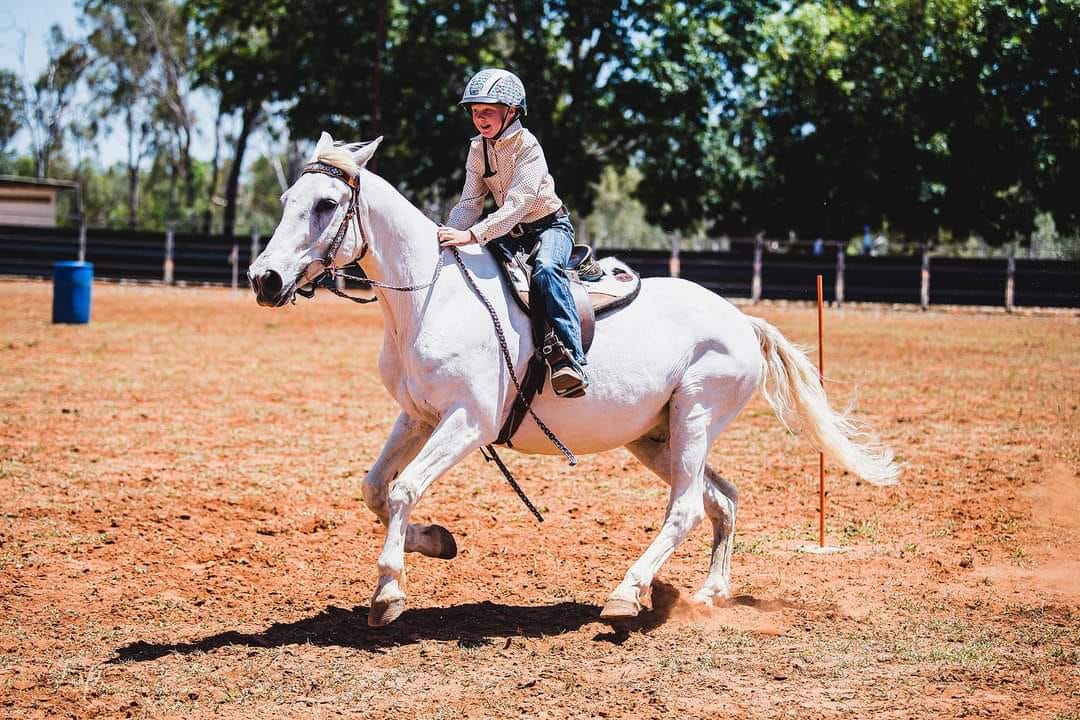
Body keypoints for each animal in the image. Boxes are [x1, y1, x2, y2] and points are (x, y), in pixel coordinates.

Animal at [248, 132, 898, 626]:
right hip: (656, 437)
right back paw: (708, 594)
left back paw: (627, 593)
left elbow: (404, 489)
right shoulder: (418, 417)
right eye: (286, 197)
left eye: (326, 204)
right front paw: (434, 541)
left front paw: (388, 590)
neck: (430, 296)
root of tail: (742, 320)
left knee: (686, 509)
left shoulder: (467, 423)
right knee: (723, 500)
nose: (264, 279)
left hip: (694, 417)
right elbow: (375, 488)